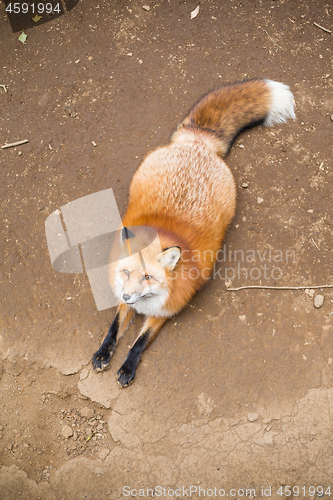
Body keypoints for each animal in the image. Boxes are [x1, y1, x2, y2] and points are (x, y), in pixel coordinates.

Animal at [92, 78, 294, 386]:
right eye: (126, 272)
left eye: (148, 277)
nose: (127, 296)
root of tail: (198, 144)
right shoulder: (123, 295)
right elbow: (114, 326)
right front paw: (104, 352)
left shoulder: (166, 310)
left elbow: (140, 342)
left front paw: (127, 367)